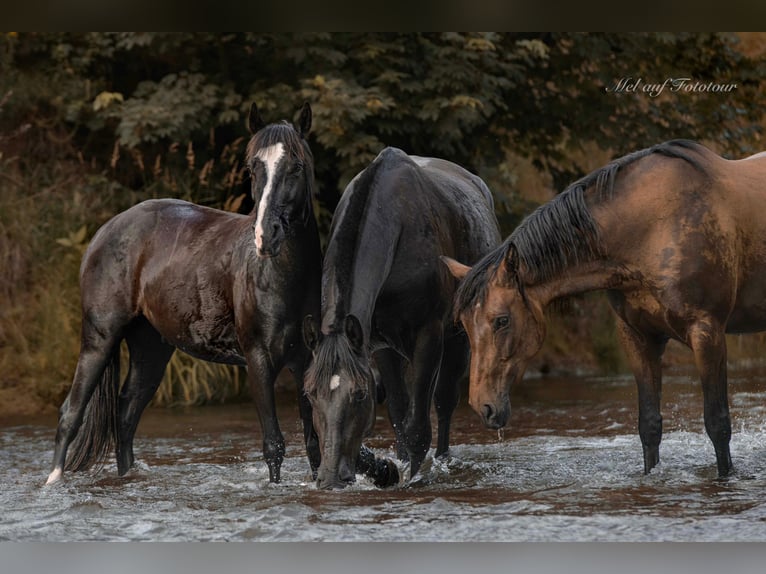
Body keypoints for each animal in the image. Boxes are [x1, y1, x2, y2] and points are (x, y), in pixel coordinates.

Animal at [46, 102, 323, 485]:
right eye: (254, 168)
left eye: (296, 166)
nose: (266, 235)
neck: (284, 279)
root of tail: (105, 232)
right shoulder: (259, 361)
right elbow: (274, 444)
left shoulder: (306, 361)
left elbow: (313, 445)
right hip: (98, 340)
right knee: (71, 413)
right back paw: (53, 483)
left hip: (150, 348)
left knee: (126, 415)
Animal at [303, 147, 501, 489]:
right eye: (311, 394)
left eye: (359, 394)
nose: (330, 478)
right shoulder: (378, 345)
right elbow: (397, 410)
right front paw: (390, 466)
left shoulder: (429, 336)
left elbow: (417, 425)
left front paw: (410, 476)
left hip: (457, 341)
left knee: (444, 401)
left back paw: (443, 459)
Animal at [443, 139, 766, 478]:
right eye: (464, 325)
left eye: (502, 320)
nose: (483, 407)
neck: (654, 229)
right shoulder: (637, 337)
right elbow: (649, 426)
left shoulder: (707, 332)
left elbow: (717, 423)